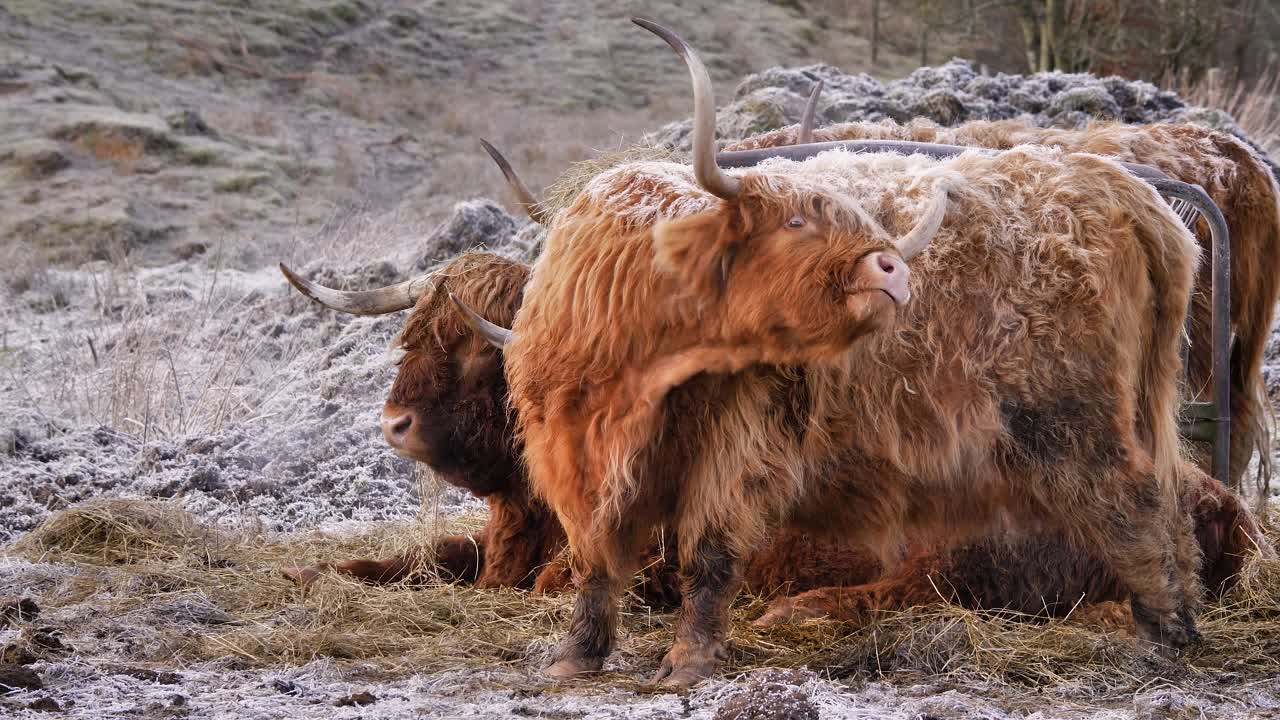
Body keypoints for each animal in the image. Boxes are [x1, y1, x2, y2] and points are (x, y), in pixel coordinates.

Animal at [487, 17, 1205, 687]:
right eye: (796, 221)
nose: (892, 268)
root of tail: (1120, 188)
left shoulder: (742, 443)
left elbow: (709, 551)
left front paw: (687, 662)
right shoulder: (576, 452)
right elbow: (597, 558)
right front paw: (576, 656)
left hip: (1073, 418)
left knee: (1135, 501)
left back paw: (1167, 634)